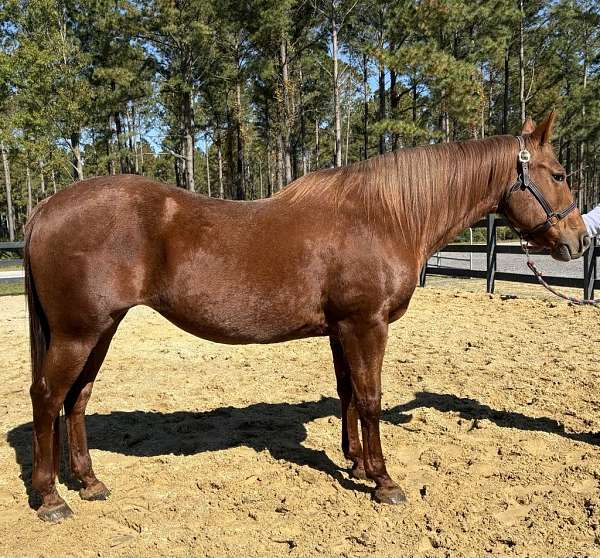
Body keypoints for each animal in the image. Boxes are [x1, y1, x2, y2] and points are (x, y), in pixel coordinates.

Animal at [24, 111, 592, 524]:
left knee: (77, 399)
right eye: (560, 174)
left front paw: (356, 463)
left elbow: (349, 394)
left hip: (101, 330)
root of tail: (47, 206)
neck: (382, 215)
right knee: (49, 398)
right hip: (77, 333)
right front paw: (384, 481)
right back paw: (51, 498)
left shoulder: (342, 329)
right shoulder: (366, 325)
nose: (580, 241)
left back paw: (90, 483)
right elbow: (370, 397)